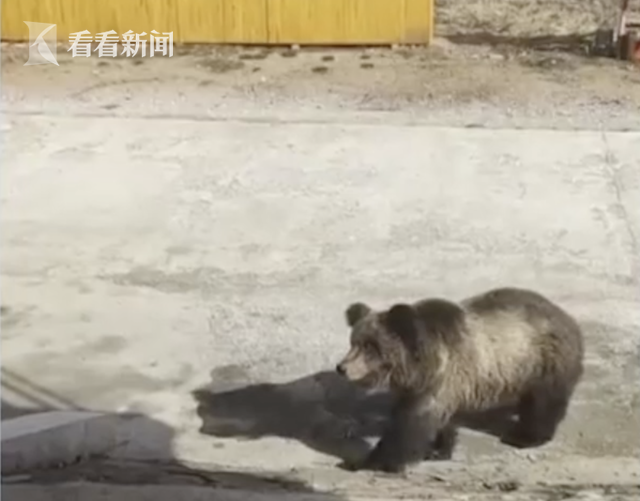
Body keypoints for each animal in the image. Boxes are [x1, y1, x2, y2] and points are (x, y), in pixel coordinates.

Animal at [338, 288, 584, 470]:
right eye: (353, 342)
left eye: (370, 347)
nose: (342, 368)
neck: (417, 367)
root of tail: (567, 317)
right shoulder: (433, 386)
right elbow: (439, 420)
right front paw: (437, 449)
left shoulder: (441, 378)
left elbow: (411, 422)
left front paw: (370, 461)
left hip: (543, 360)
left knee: (543, 402)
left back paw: (526, 437)